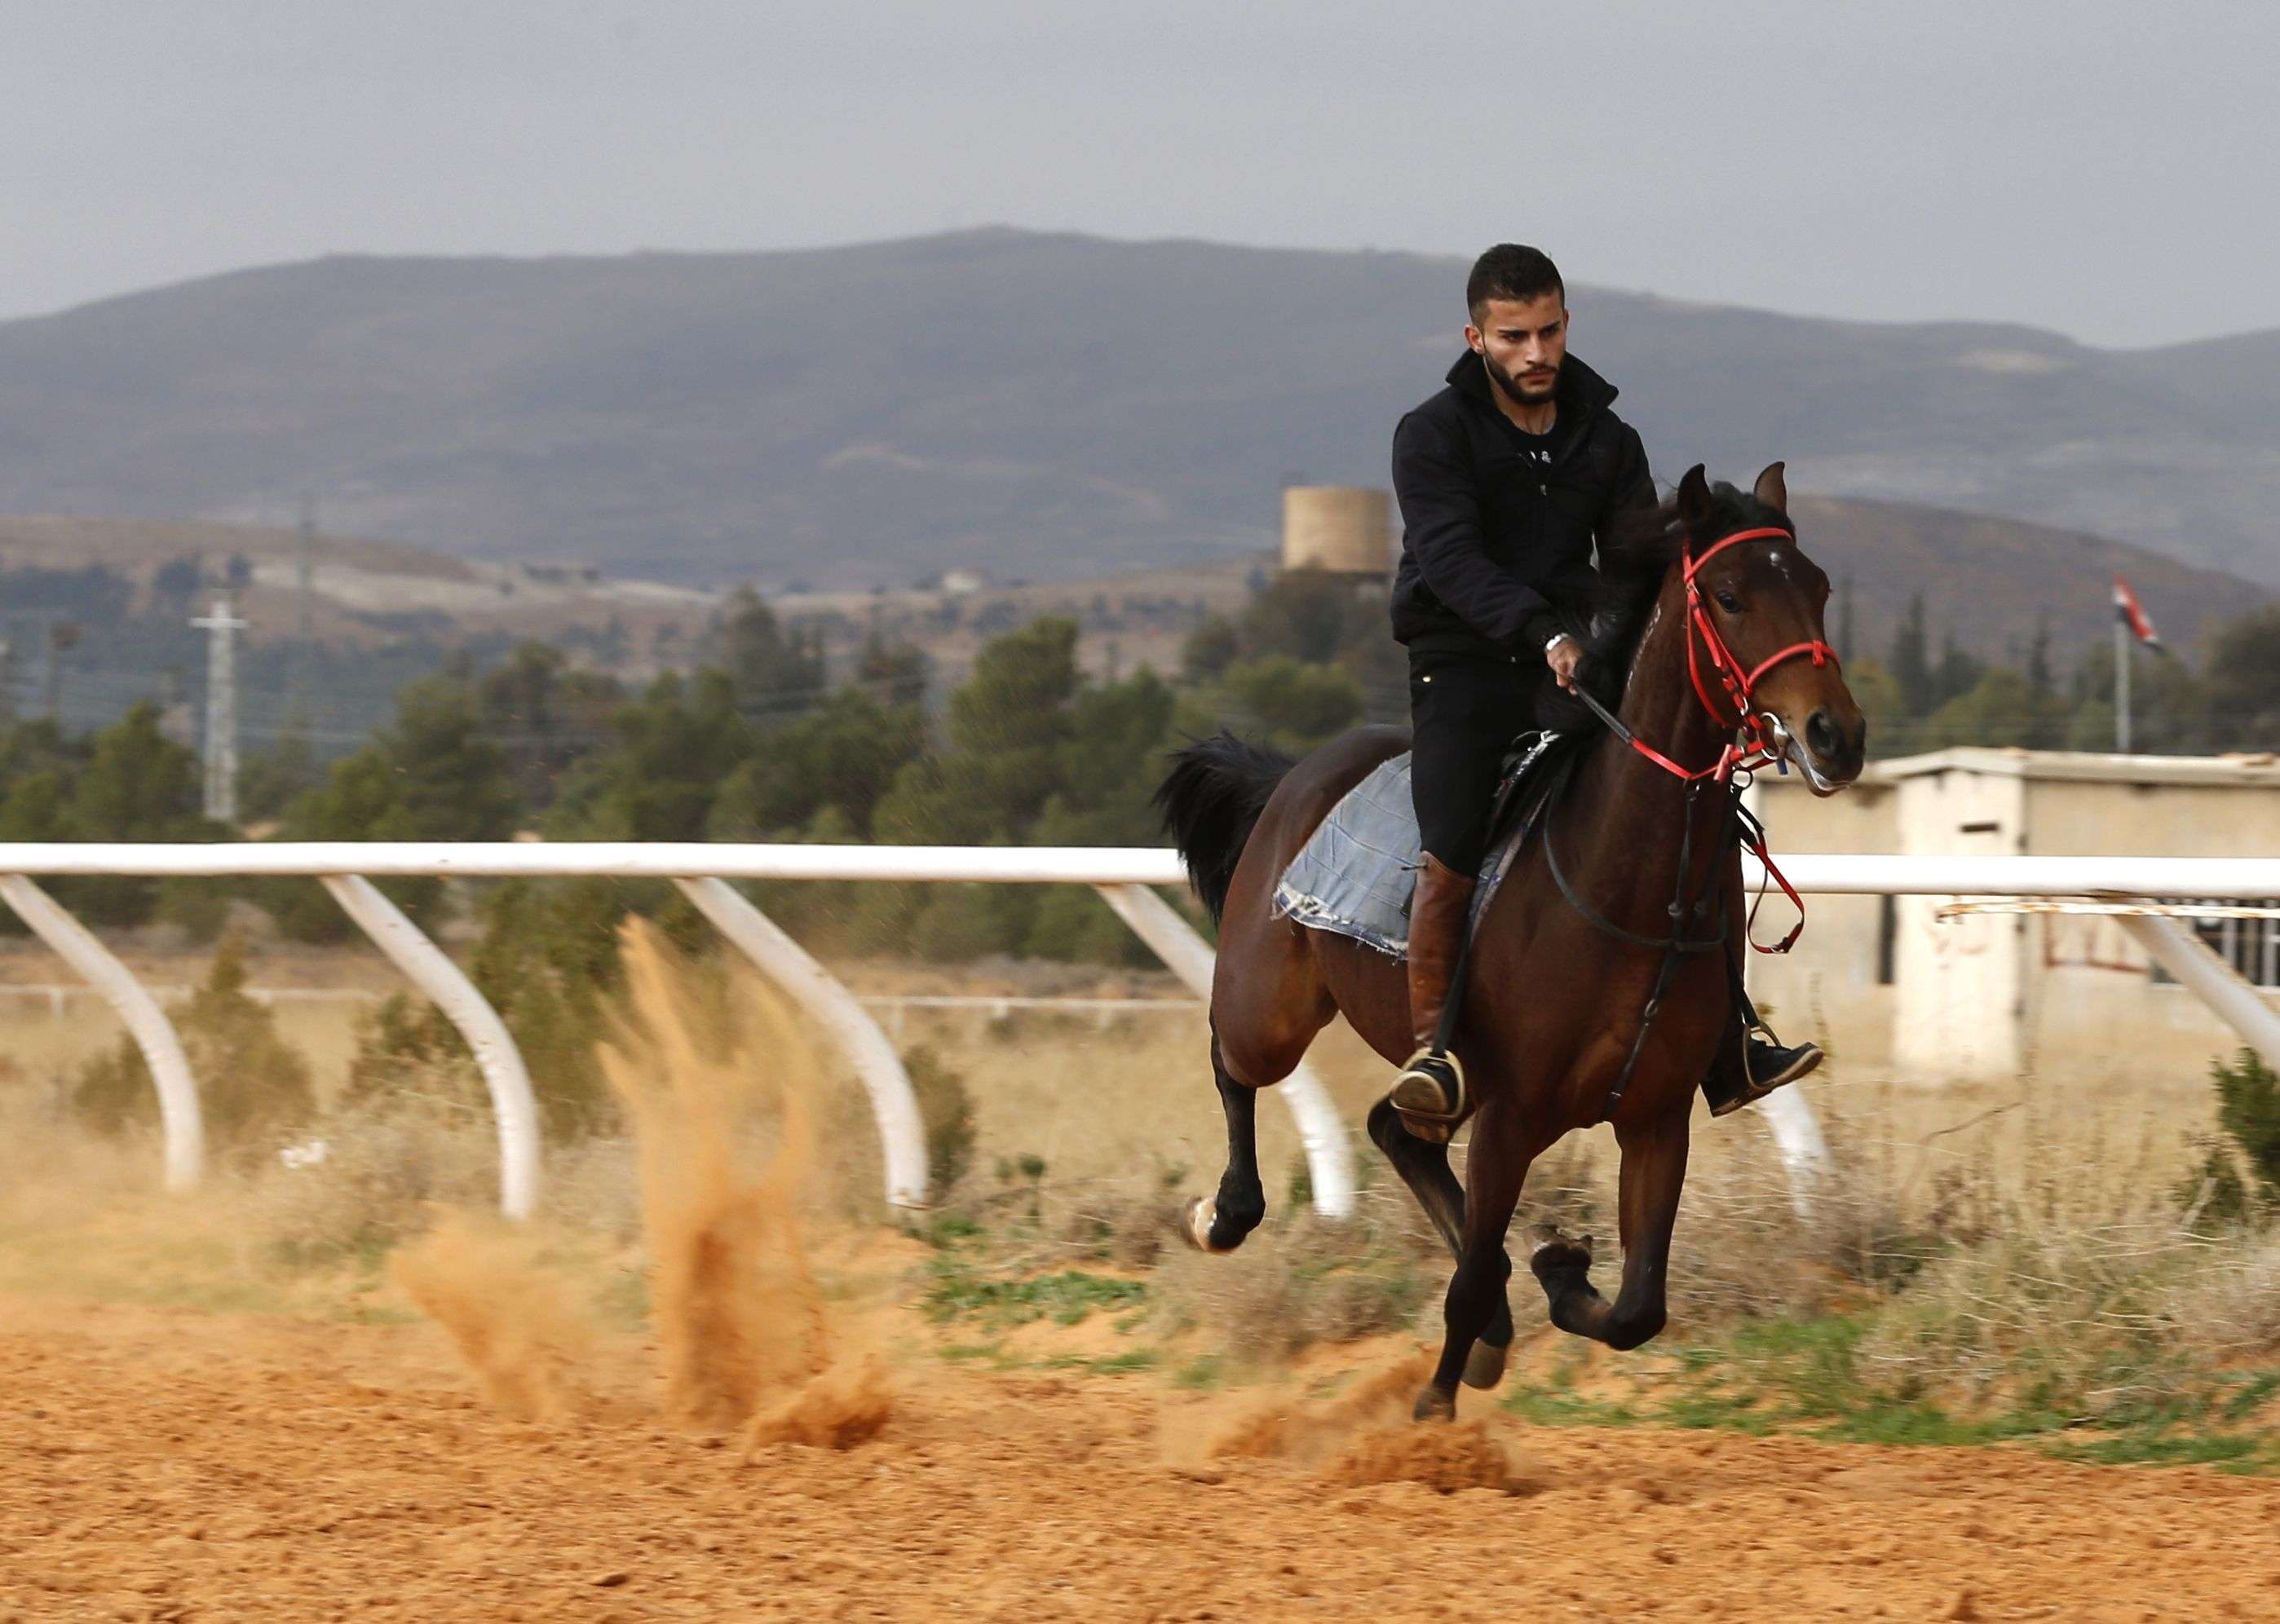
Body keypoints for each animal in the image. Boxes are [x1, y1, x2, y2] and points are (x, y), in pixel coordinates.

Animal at [1154, 462, 1866, 1422]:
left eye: (1819, 588)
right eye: (1729, 595)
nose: (1837, 734)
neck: (1618, 884)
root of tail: (1293, 776)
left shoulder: (1654, 1120)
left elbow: (1638, 1308)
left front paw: (1561, 1273)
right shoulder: (1511, 1116)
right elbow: (1473, 1277)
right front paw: (1433, 1413)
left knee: (1397, 1128)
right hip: (1272, 1004)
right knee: (1235, 1060)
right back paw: (1225, 1212)